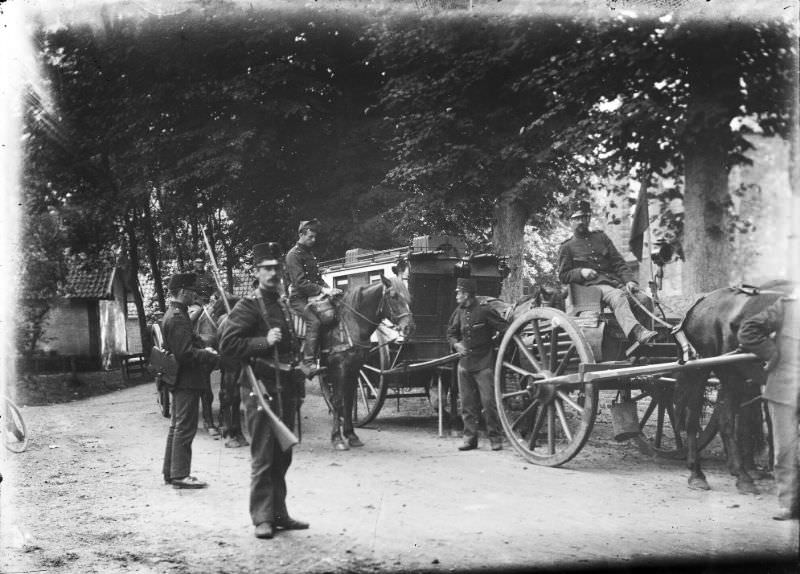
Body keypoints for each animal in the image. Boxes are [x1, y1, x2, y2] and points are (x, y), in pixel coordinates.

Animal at [320, 276, 416, 452]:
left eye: (408, 297)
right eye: (393, 296)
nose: (409, 327)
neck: (351, 324)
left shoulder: (354, 369)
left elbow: (348, 401)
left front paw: (351, 435)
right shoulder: (340, 369)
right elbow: (337, 401)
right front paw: (337, 438)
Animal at [676, 280, 792, 496]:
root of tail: (701, 302)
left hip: (731, 376)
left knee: (726, 420)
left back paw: (741, 474)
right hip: (701, 371)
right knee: (693, 419)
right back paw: (699, 474)